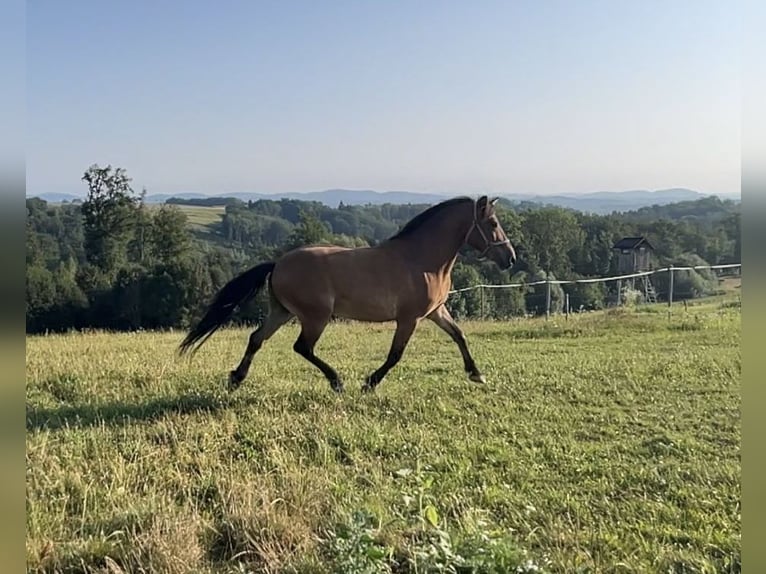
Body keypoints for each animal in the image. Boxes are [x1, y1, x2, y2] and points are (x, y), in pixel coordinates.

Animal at [177, 196, 520, 394]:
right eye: (492, 222)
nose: (511, 258)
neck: (421, 260)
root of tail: (278, 263)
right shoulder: (409, 318)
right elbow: (395, 355)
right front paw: (369, 383)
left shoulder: (436, 311)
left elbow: (459, 335)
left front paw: (477, 375)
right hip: (315, 317)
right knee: (301, 347)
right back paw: (336, 381)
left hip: (282, 312)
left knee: (256, 338)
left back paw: (237, 378)